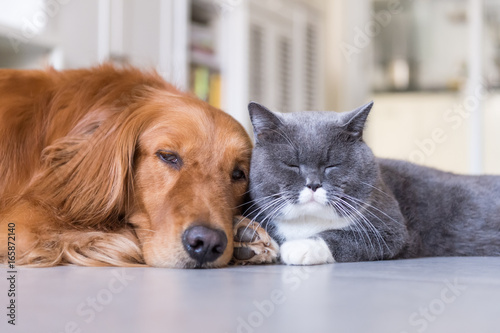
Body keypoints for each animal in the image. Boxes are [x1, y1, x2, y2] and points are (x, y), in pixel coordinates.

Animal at [246, 101, 500, 264]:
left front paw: (301, 246)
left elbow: (343, 236)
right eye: (292, 165)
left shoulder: (391, 229)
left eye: (332, 165)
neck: (308, 221)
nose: (313, 184)